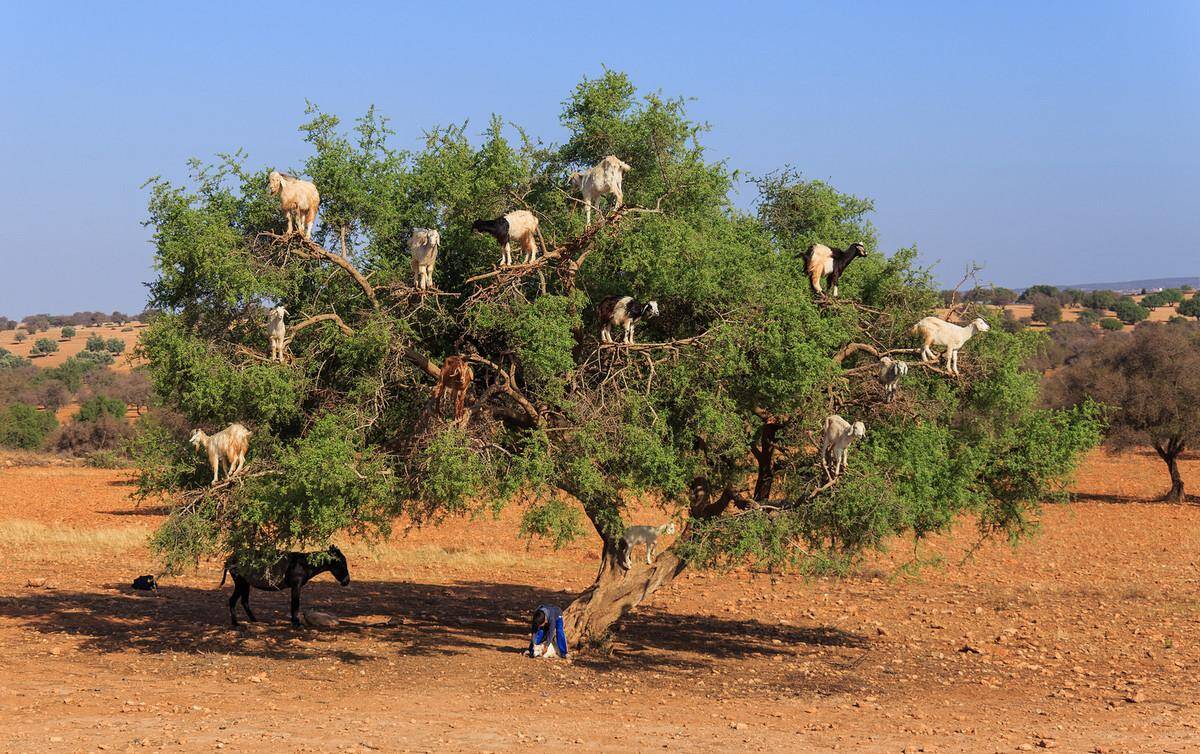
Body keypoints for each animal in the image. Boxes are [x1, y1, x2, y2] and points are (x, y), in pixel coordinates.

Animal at [221, 545, 350, 628]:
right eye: (342, 562)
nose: (347, 581)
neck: (305, 564)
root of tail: (230, 558)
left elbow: (294, 604)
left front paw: (294, 622)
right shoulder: (296, 586)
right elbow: (295, 604)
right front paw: (296, 623)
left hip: (245, 584)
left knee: (244, 601)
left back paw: (254, 620)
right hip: (240, 582)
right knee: (233, 600)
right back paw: (236, 624)